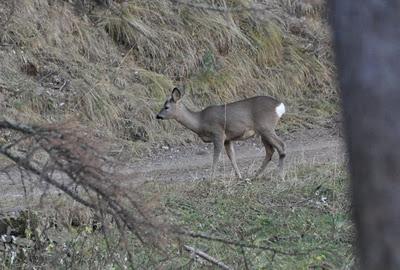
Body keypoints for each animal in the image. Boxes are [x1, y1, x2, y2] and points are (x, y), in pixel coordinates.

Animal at [155, 87, 284, 178]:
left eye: (166, 107)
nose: (158, 116)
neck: (200, 121)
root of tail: (280, 106)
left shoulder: (218, 134)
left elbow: (215, 157)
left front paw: (211, 179)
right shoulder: (228, 139)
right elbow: (232, 157)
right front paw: (239, 176)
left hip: (266, 127)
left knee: (281, 146)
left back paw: (279, 175)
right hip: (263, 132)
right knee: (270, 151)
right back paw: (256, 175)